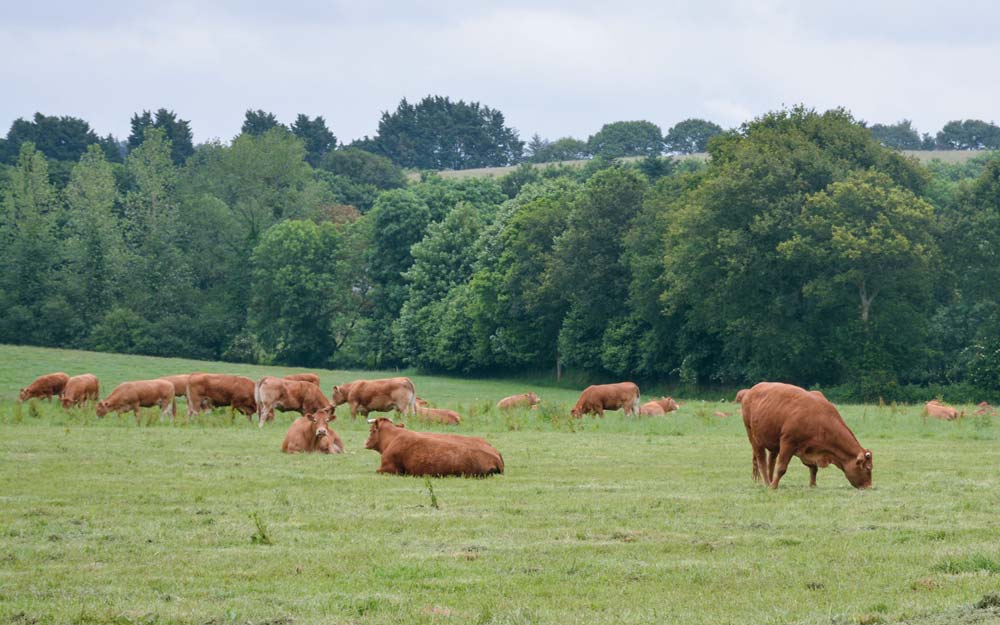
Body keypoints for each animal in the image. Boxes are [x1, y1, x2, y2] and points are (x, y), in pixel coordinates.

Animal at [740, 380, 872, 488]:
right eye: (868, 468)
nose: (869, 487)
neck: (820, 417)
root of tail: (750, 391)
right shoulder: (788, 443)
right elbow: (781, 467)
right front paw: (773, 487)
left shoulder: (808, 450)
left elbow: (813, 468)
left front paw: (813, 485)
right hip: (753, 437)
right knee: (761, 460)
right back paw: (768, 483)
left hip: (774, 442)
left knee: (771, 460)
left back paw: (771, 480)